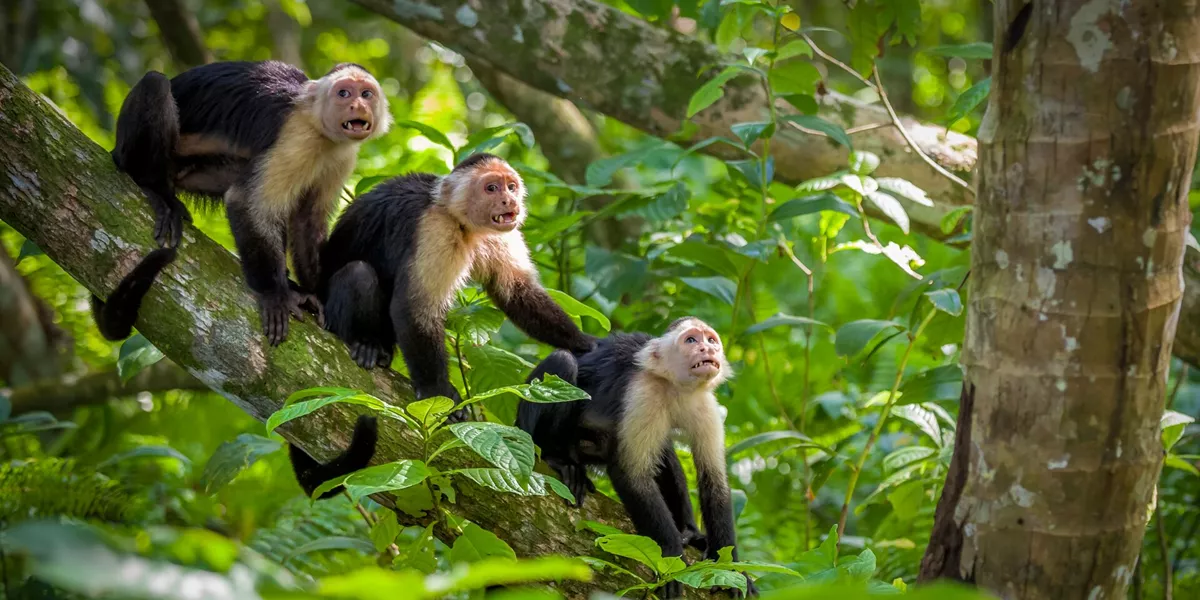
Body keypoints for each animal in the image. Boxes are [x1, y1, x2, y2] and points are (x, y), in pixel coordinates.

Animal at [90, 60, 391, 346]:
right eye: (344, 93)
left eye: (366, 94)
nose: (357, 105)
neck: (321, 129)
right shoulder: (296, 136)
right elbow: (245, 201)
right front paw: (274, 294)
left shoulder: (342, 156)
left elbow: (307, 219)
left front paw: (314, 292)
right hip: (133, 153)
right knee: (156, 84)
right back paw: (152, 187)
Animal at [284, 153, 598, 495]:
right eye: (491, 188)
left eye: (511, 186)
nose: (509, 199)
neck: (460, 218)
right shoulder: (434, 228)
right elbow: (414, 308)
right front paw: (439, 394)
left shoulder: (500, 234)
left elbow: (517, 292)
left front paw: (588, 345)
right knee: (359, 274)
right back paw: (366, 345)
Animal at [515, 317, 758, 598]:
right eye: (691, 340)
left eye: (711, 340)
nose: (707, 349)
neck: (677, 387)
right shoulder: (643, 393)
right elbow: (630, 475)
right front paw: (670, 559)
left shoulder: (705, 405)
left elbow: (714, 482)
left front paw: (731, 570)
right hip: (528, 427)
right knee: (563, 362)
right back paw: (556, 456)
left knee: (664, 452)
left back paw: (688, 531)